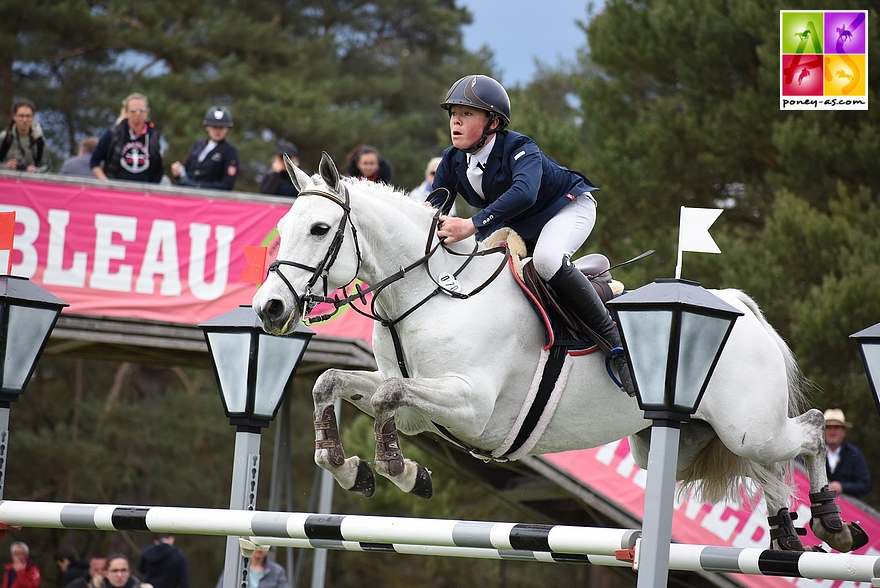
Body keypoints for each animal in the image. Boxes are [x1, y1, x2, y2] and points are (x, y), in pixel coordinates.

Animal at [253, 154, 868, 552]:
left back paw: (833, 524)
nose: (269, 309)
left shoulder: (471, 405)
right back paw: (786, 532)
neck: (432, 291)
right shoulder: (418, 406)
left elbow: (386, 393)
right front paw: (355, 468)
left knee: (811, 430)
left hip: (747, 426)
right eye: (282, 225)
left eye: (320, 227)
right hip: (682, 441)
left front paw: (398, 471)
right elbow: (335, 383)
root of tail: (740, 310)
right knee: (773, 465)